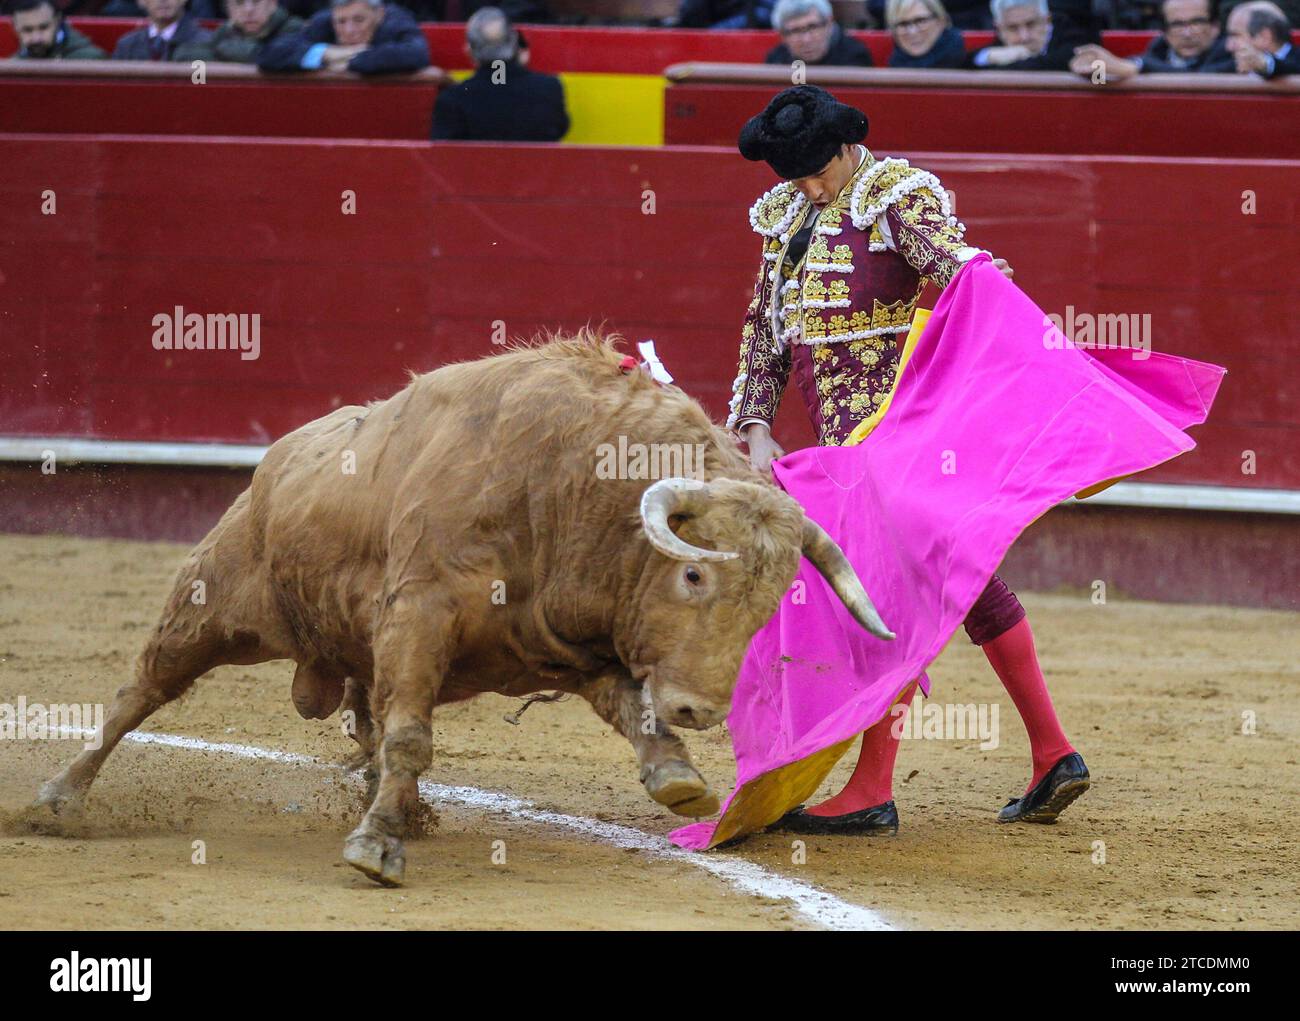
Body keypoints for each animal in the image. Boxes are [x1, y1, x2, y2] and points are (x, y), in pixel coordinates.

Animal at [38, 332, 894, 884]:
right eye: (692, 576)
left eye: (765, 607)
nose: (700, 708)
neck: (571, 485)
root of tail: (277, 458)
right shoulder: (420, 612)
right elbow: (413, 735)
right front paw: (376, 849)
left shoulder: (572, 643)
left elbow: (628, 706)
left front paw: (677, 776)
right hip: (211, 600)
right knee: (142, 689)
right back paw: (59, 798)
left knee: (366, 715)